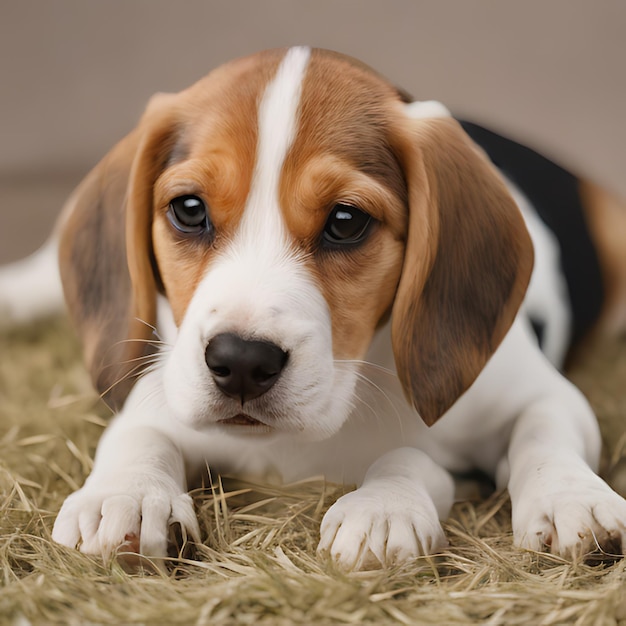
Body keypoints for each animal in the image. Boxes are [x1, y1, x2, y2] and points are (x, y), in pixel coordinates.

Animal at [1, 46, 624, 568]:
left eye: (346, 221)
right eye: (189, 209)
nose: (241, 362)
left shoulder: (539, 394)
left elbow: (536, 436)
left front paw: (566, 499)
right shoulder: (161, 388)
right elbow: (138, 437)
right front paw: (125, 495)